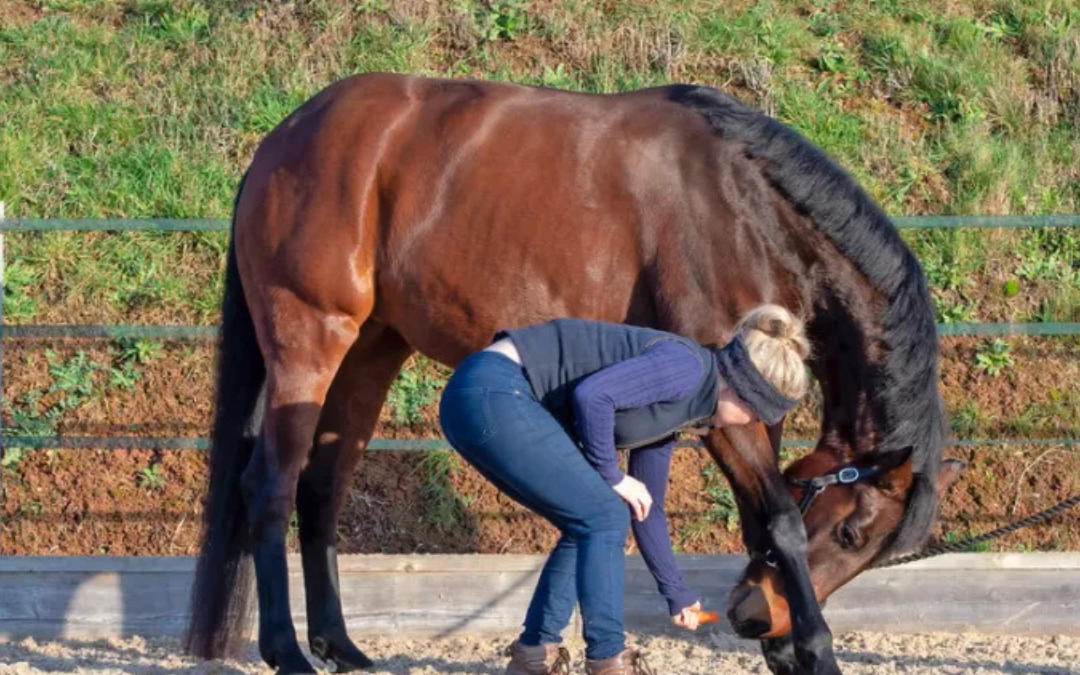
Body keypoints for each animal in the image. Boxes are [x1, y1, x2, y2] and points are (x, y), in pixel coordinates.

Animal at [183, 73, 963, 675]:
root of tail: (284, 139)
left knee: (321, 488)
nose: (751, 619)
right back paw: (287, 651)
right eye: (854, 534)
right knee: (270, 485)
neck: (743, 209)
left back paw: (341, 646)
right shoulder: (722, 412)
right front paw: (817, 649)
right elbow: (781, 523)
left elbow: (760, 521)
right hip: (309, 342)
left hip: (372, 351)